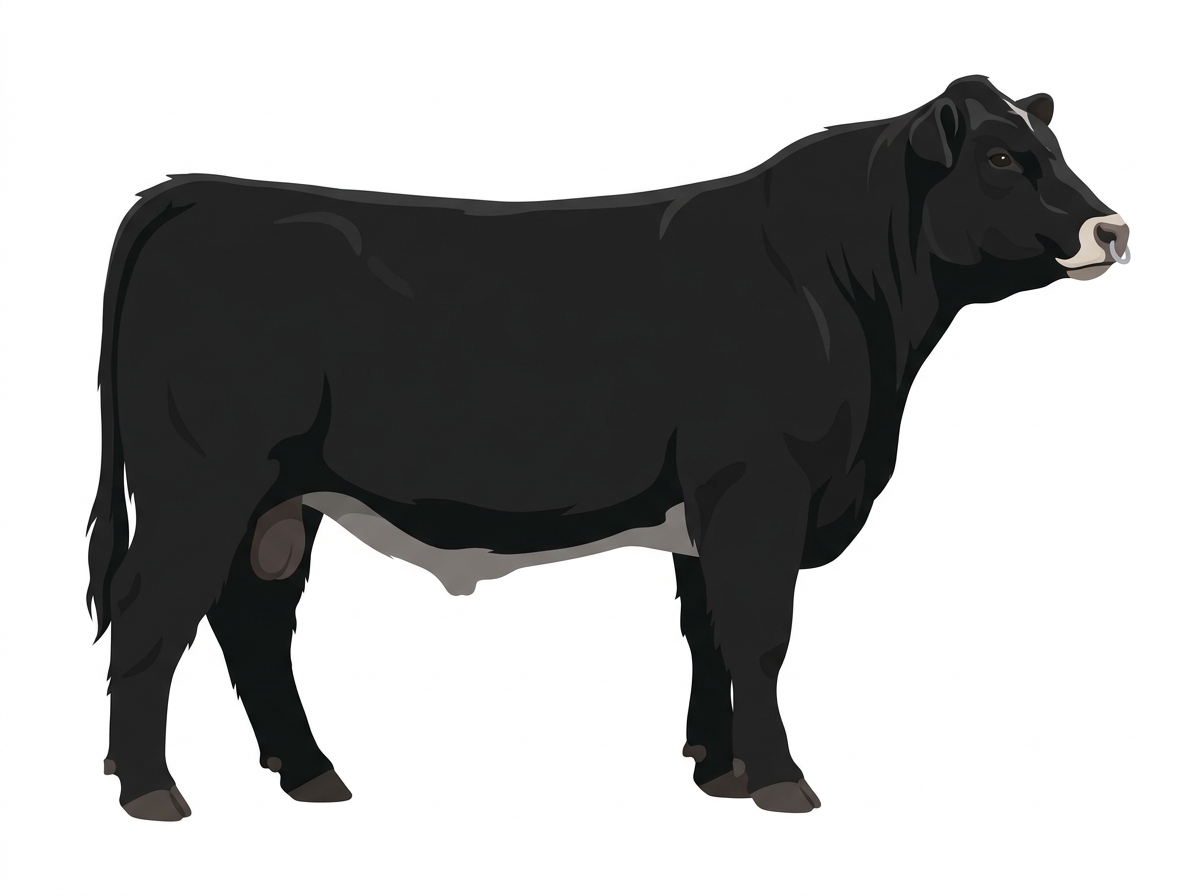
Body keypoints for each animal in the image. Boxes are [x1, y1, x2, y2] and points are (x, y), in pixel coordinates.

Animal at [87, 75, 1129, 820]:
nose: (1112, 228)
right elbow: (761, 636)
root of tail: (189, 191)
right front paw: (782, 781)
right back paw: (152, 791)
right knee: (152, 611)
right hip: (201, 482)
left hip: (278, 500)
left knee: (251, 620)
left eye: (1052, 148)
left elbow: (712, 634)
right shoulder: (761, 486)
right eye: (1002, 157)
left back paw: (309, 774)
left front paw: (721, 770)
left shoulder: (714, 505)